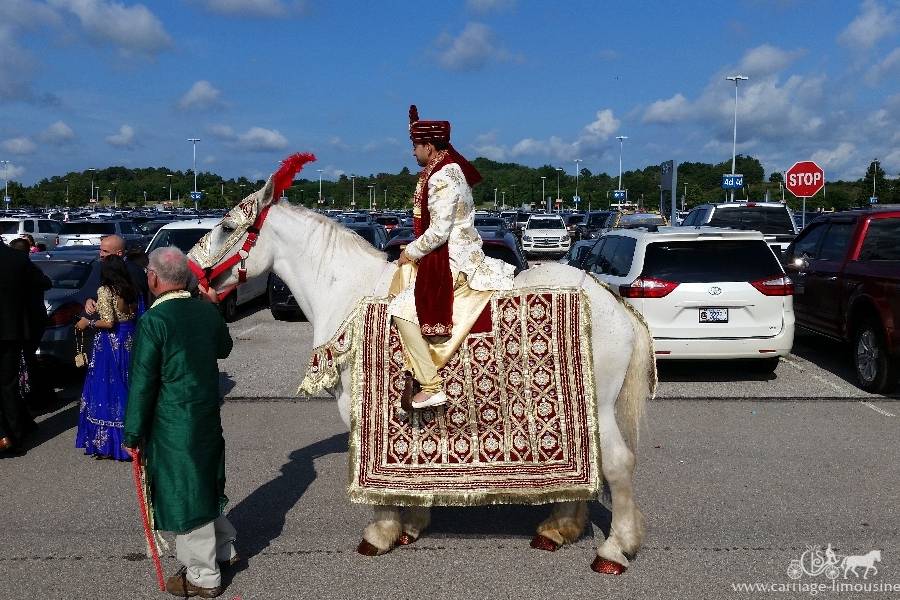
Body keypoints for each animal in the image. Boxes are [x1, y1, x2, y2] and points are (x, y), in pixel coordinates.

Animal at [190, 186, 652, 572]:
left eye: (227, 226)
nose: (191, 275)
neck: (349, 291)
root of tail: (612, 301)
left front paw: (380, 535)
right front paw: (410, 524)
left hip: (599, 408)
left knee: (616, 464)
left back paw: (614, 550)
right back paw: (558, 529)